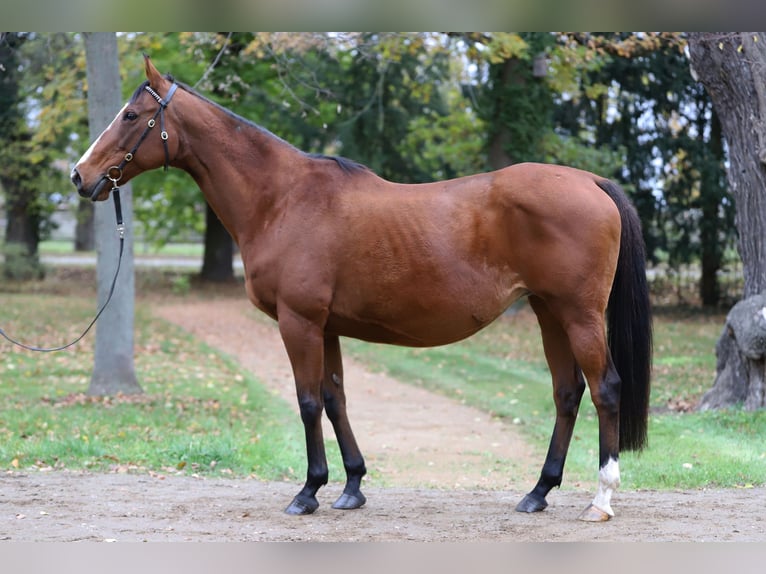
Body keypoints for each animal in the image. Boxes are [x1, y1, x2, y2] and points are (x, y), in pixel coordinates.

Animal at [72, 56, 652, 524]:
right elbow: (335, 399)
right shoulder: (325, 326)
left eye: (130, 116)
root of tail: (589, 181)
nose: (80, 175)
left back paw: (601, 499)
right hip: (548, 312)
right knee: (567, 393)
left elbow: (308, 401)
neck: (282, 199)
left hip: (579, 315)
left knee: (605, 389)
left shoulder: (299, 322)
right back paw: (538, 492)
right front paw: (351, 486)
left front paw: (308, 492)